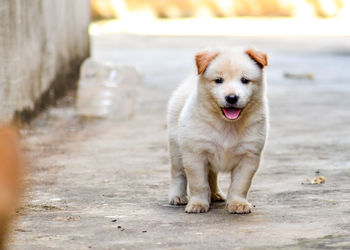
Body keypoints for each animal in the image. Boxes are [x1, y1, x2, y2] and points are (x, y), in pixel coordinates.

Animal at [167, 47, 268, 214]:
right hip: (176, 149)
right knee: (178, 174)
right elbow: (198, 184)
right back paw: (177, 197)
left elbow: (240, 184)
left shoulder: (249, 156)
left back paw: (215, 194)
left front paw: (238, 203)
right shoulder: (196, 154)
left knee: (211, 176)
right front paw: (198, 203)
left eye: (244, 80)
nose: (232, 97)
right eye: (218, 80)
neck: (227, 125)